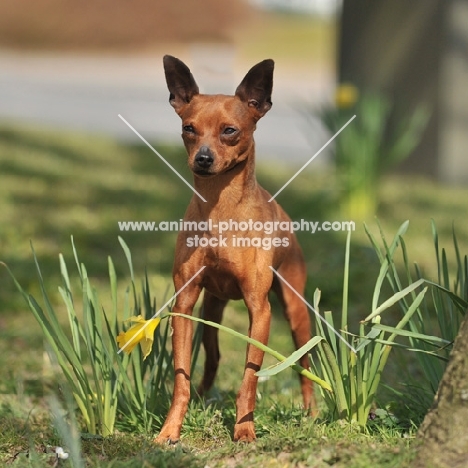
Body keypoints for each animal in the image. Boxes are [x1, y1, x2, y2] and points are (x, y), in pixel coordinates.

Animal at [156, 54, 314, 442]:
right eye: (189, 128)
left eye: (229, 130)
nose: (203, 158)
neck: (220, 210)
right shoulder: (184, 305)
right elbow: (180, 377)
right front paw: (170, 429)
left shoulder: (261, 310)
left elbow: (250, 377)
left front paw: (244, 430)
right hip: (211, 311)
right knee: (212, 358)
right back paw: (201, 397)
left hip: (295, 310)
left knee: (304, 363)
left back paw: (312, 411)